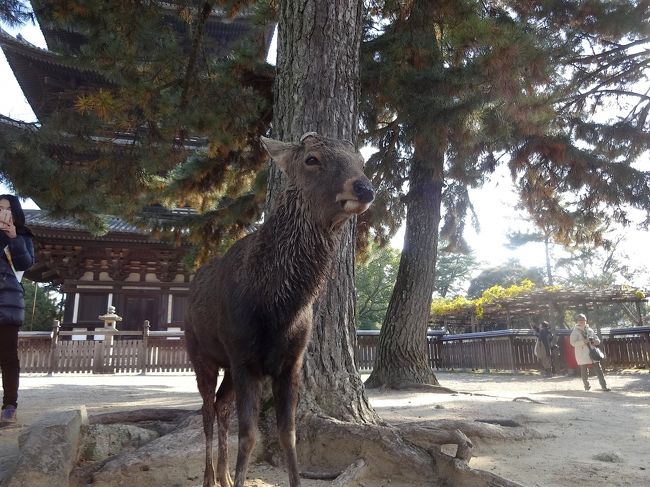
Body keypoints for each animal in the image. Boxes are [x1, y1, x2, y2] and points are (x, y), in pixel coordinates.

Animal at [184, 132, 375, 487]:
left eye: (361, 161)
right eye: (311, 159)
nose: (364, 187)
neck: (277, 307)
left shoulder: (291, 362)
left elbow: (289, 434)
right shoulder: (243, 357)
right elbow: (249, 435)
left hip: (229, 367)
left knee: (221, 406)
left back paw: (223, 476)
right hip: (200, 353)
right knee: (206, 410)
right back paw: (209, 478)